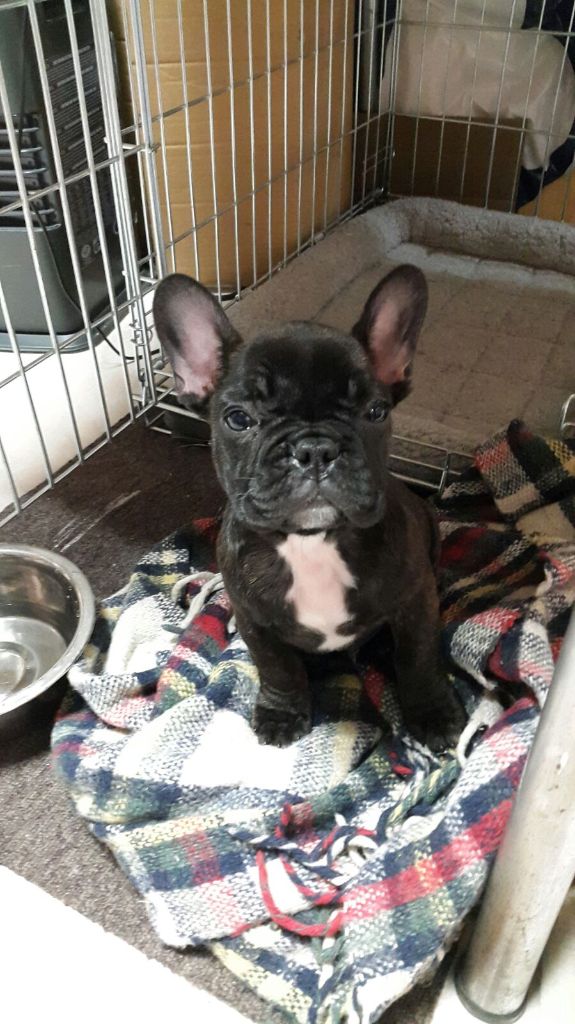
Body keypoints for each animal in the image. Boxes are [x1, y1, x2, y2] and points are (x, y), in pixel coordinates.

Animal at [153, 266, 465, 751]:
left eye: (376, 412)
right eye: (239, 419)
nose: (315, 449)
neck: (312, 542)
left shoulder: (416, 601)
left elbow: (417, 660)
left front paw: (433, 714)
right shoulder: (255, 620)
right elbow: (279, 669)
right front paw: (282, 714)